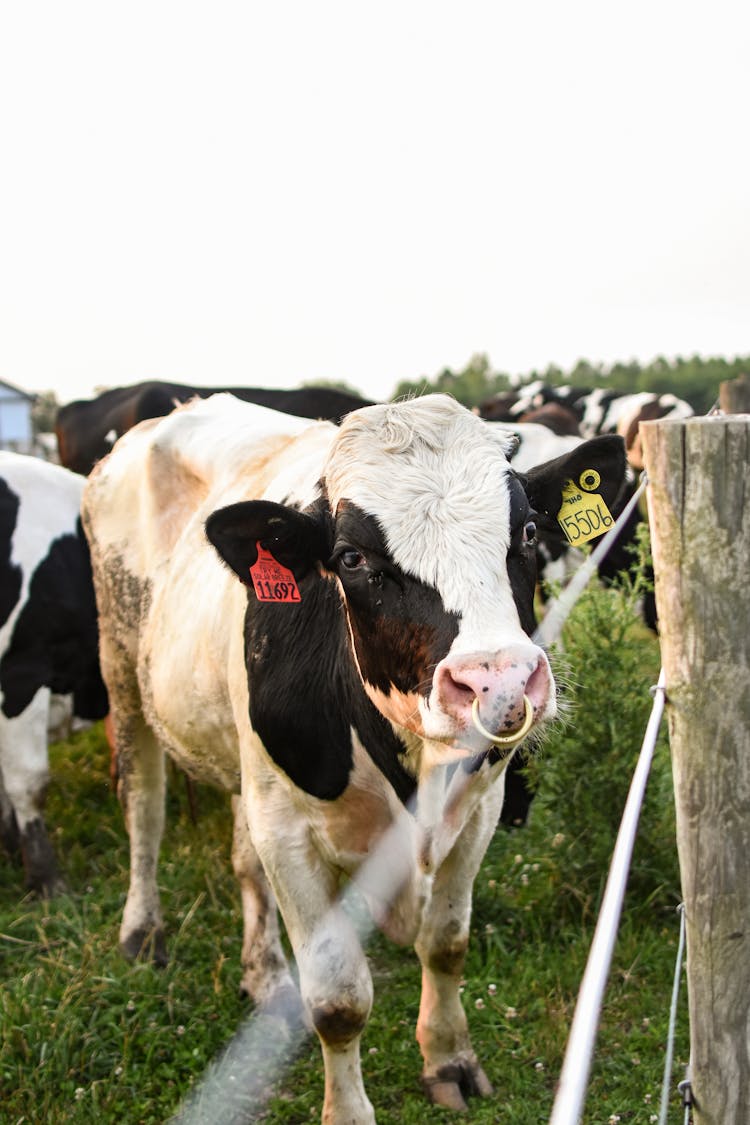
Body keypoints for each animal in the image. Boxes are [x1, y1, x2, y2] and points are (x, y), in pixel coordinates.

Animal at [80, 391, 629, 1120]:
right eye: (350, 558)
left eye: (529, 533)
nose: (501, 682)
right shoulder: (289, 834)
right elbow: (338, 1000)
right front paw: (346, 1107)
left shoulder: (478, 811)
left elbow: (446, 944)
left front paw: (449, 1059)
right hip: (123, 672)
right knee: (144, 804)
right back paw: (142, 931)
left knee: (243, 858)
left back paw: (265, 973)